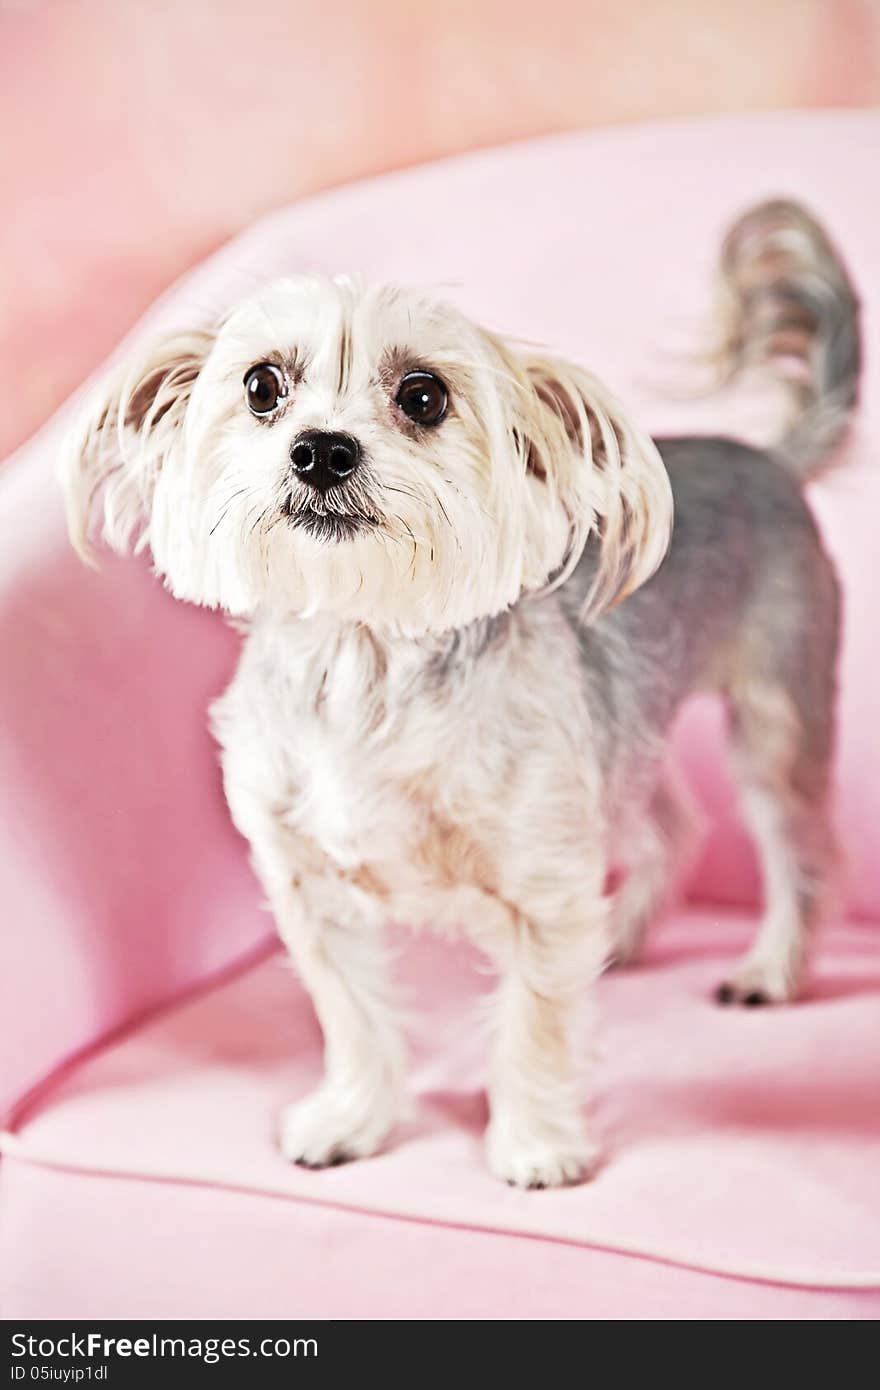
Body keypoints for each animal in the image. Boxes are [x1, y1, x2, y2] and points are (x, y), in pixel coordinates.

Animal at [61, 201, 856, 1189]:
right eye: (260, 386)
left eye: (424, 396)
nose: (321, 450)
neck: (363, 661)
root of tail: (771, 462)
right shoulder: (306, 889)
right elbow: (351, 1017)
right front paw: (352, 1118)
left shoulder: (543, 884)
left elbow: (536, 1025)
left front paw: (537, 1145)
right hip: (623, 736)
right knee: (674, 822)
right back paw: (624, 936)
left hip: (774, 723)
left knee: (798, 853)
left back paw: (772, 967)